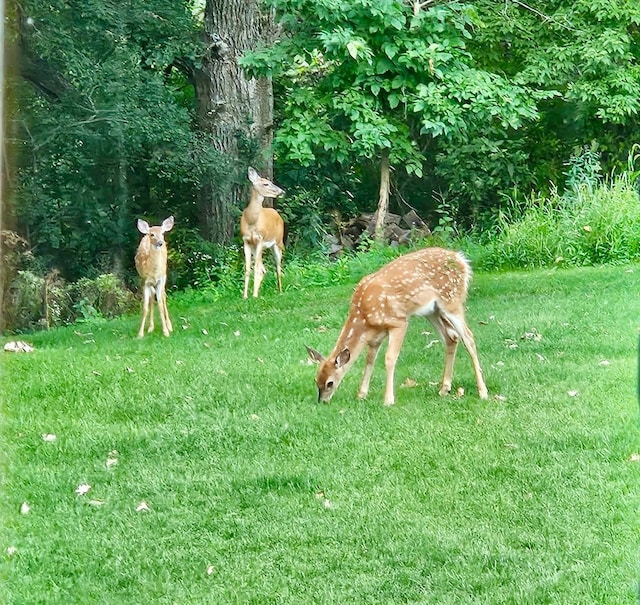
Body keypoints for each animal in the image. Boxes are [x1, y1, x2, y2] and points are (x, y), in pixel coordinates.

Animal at [240, 166, 284, 298]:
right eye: (266, 184)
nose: (282, 192)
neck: (251, 220)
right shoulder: (246, 241)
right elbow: (248, 269)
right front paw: (245, 296)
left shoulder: (260, 239)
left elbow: (256, 269)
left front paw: (254, 295)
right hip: (258, 248)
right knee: (263, 269)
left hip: (278, 243)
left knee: (278, 266)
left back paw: (280, 291)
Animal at [308, 245, 488, 406]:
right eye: (316, 380)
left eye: (330, 383)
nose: (322, 401)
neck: (364, 317)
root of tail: (461, 260)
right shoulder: (376, 335)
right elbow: (369, 359)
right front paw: (361, 395)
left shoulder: (398, 321)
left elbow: (389, 358)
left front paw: (388, 400)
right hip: (432, 311)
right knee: (451, 337)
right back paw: (444, 389)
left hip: (452, 301)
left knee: (468, 337)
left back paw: (482, 392)